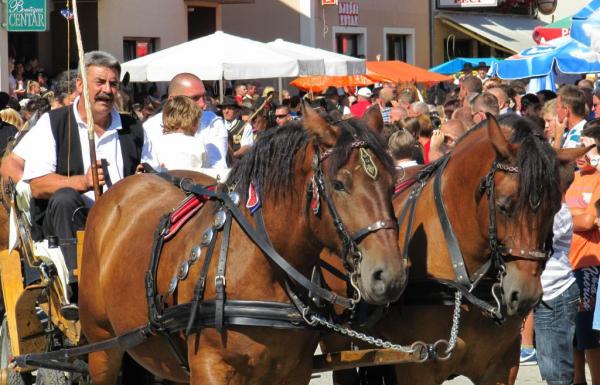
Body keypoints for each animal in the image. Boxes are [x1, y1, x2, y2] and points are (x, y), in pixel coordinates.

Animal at [77, 105, 408, 384]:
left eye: (393, 183)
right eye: (339, 184)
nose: (389, 276)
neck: (261, 265)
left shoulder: (294, 371)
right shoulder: (211, 369)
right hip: (102, 346)